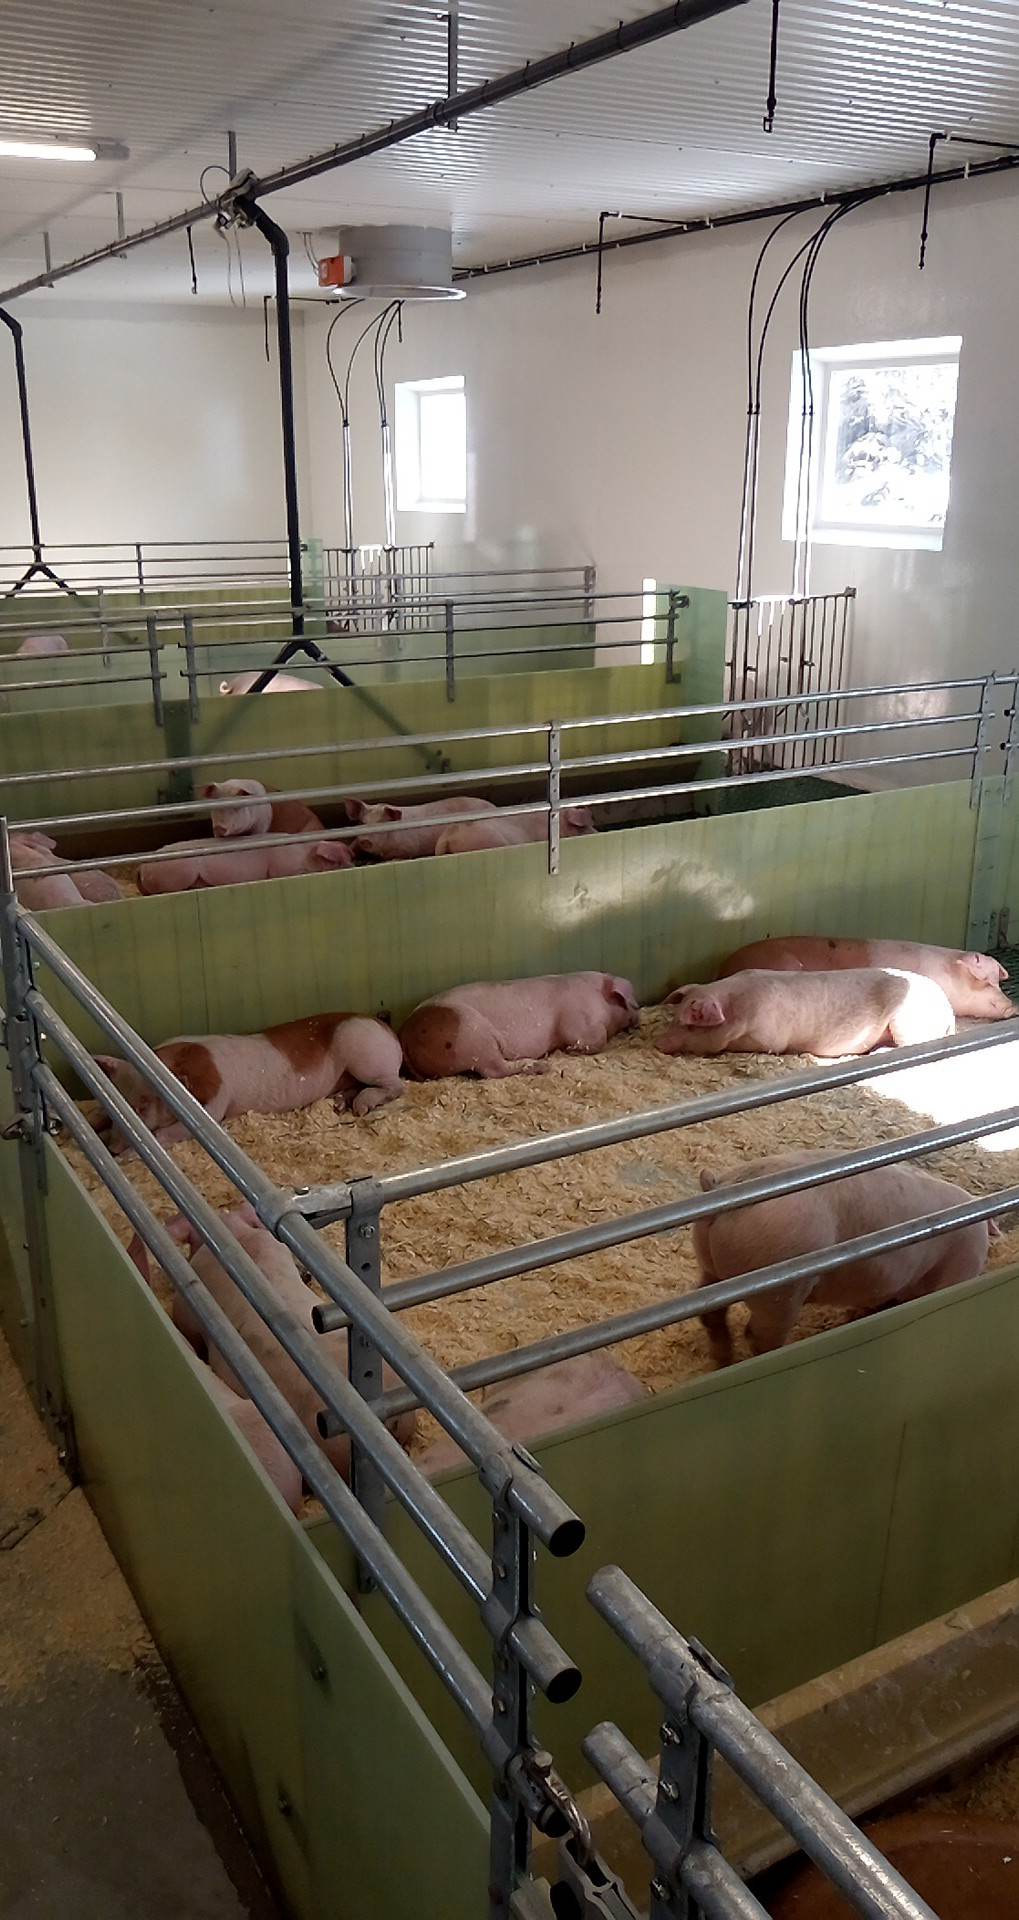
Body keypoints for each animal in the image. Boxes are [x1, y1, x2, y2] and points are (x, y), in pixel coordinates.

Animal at [94, 1012, 405, 1148]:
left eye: (143, 1105)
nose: (112, 1148)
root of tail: (387, 1030)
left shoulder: (214, 1103)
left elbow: (171, 1132)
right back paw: (340, 1104)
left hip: (365, 1055)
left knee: (397, 1085)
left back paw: (360, 1107)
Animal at [136, 833, 351, 894]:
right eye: (338, 861)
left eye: (349, 857)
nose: (354, 864)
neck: (305, 854)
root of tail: (141, 867)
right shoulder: (284, 868)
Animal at [400, 971, 640, 1079]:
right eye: (632, 1004)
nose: (638, 1021)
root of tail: (405, 1033)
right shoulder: (576, 1020)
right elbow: (595, 1037)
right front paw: (573, 1050)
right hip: (473, 1037)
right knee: (493, 1070)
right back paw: (541, 1066)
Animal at [656, 967, 955, 1059]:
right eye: (674, 1017)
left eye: (690, 1024)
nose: (659, 1043)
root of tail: (947, 1009)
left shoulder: (769, 1039)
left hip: (907, 1023)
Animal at [693, 1150, 997, 1365]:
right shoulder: (958, 1271)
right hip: (780, 1289)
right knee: (758, 1336)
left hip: (712, 1271)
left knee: (711, 1315)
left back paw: (722, 1362)